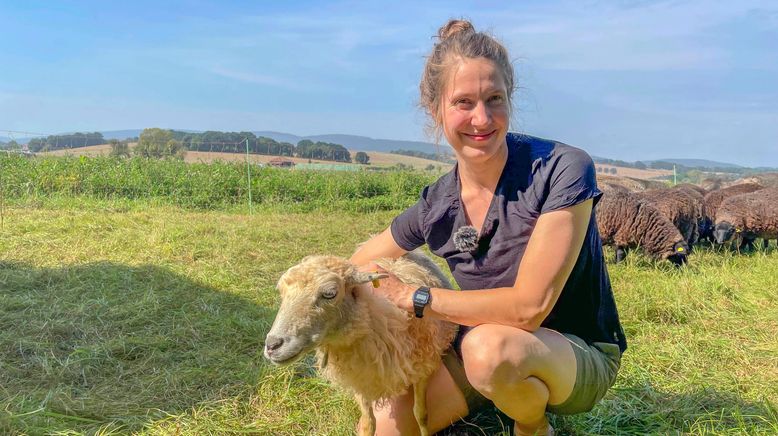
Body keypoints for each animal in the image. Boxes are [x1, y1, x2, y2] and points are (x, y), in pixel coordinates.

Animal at [264, 250, 454, 436]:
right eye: (281, 292)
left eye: (330, 293)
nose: (272, 345)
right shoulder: (361, 379)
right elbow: (368, 424)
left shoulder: (424, 368)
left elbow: (421, 414)